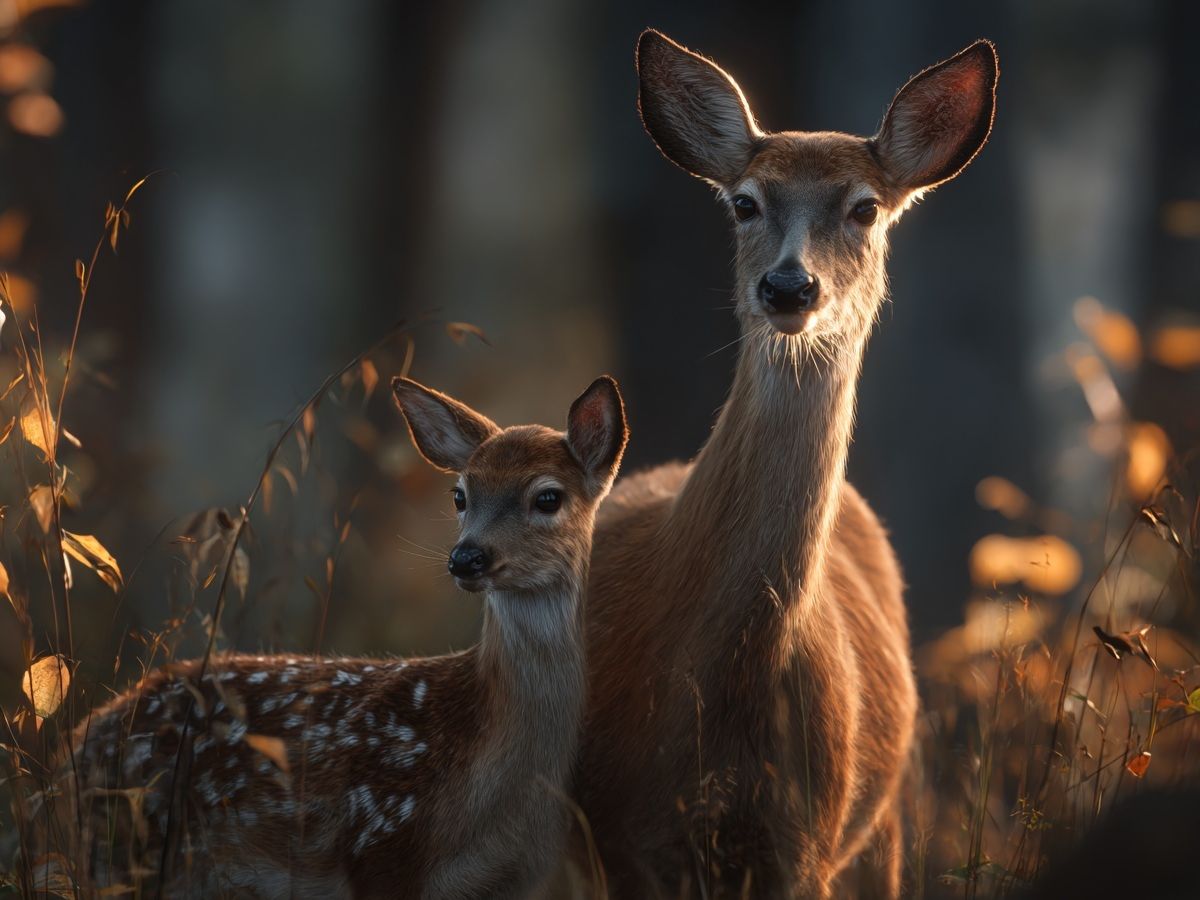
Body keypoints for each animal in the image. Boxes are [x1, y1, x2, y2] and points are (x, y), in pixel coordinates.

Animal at [61, 375, 628, 898]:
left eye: (548, 497)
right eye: (460, 495)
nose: (466, 557)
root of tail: (83, 735)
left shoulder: (516, 879)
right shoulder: (381, 844)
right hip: (126, 849)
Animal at [568, 31, 998, 898]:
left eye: (865, 207)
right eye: (744, 202)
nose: (789, 286)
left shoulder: (804, 839)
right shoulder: (615, 835)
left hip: (883, 817)